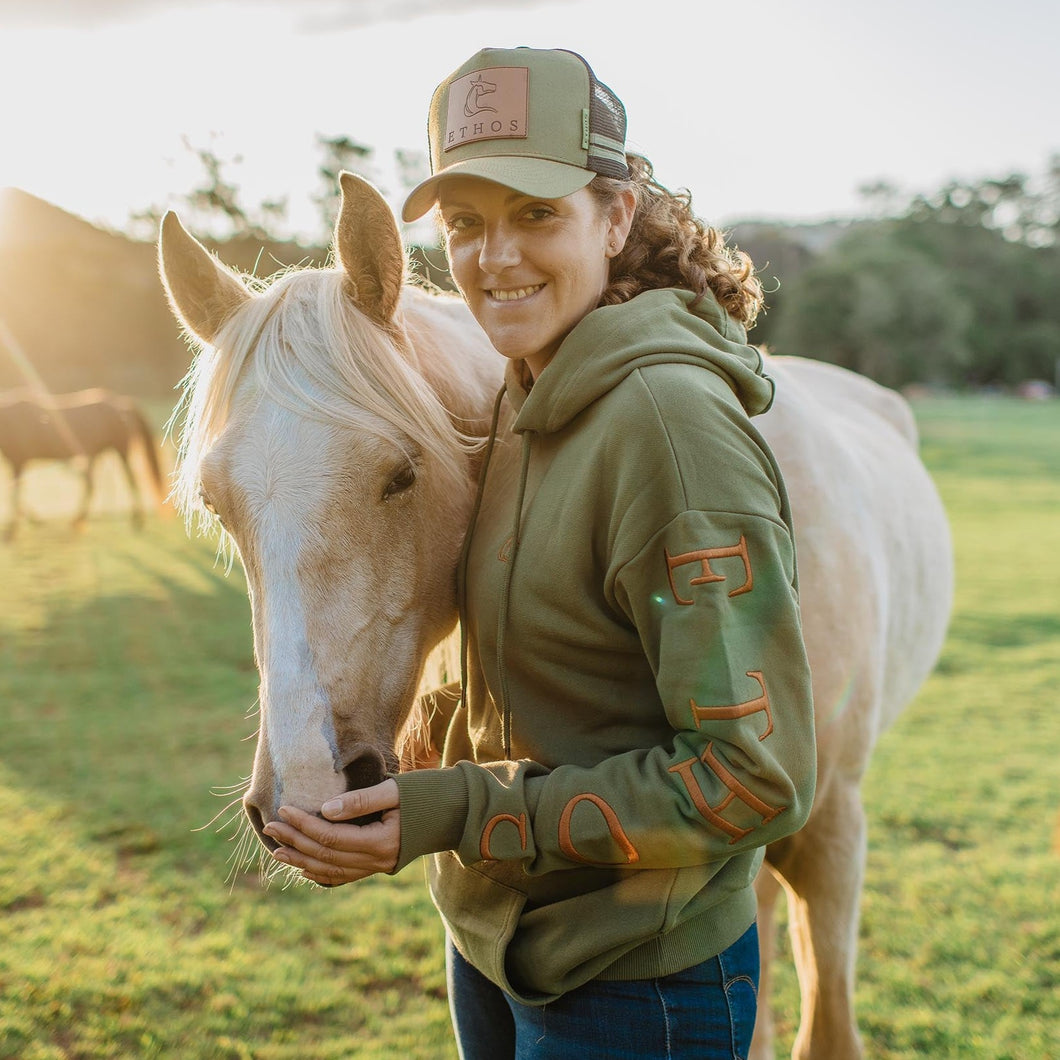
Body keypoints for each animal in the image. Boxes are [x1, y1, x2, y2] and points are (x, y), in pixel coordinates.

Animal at [0, 387, 165, 542]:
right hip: (97, 454)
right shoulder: (16, 463)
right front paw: (34, 520)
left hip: (120, 450)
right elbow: (13, 493)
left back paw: (136, 521)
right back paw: (79, 520)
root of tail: (122, 404)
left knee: (130, 480)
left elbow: (14, 494)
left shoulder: (18, 461)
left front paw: (12, 531)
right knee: (91, 485)